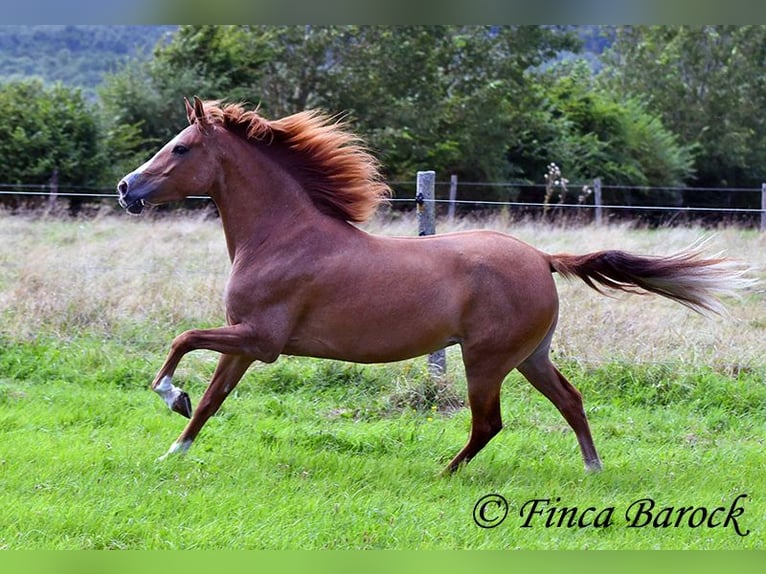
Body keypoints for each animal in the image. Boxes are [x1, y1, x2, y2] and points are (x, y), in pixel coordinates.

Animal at [118, 99, 752, 474]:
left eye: (180, 147)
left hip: (486, 360)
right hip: (531, 357)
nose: (126, 188)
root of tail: (542, 259)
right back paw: (593, 470)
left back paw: (446, 473)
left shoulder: (259, 339)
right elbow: (212, 400)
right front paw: (174, 448)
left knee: (489, 423)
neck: (282, 237)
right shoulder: (245, 342)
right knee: (570, 401)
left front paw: (169, 398)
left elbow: (182, 342)